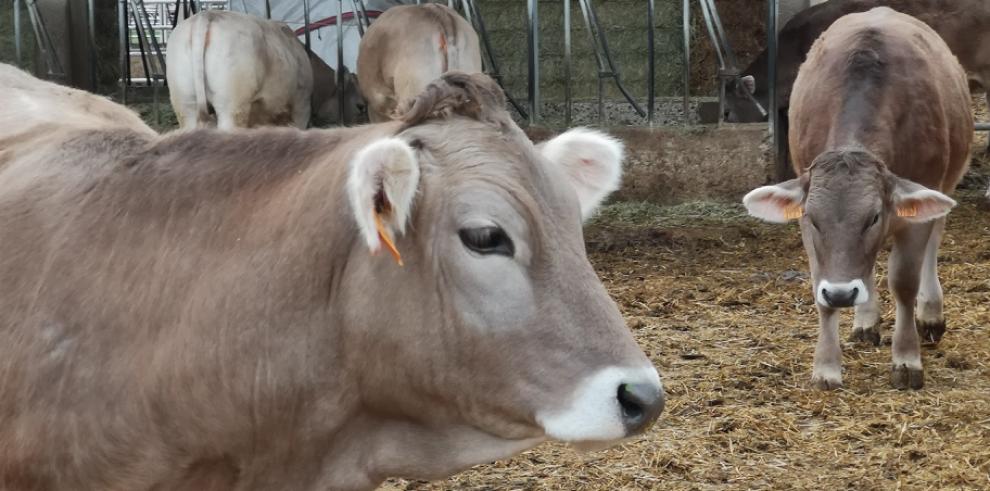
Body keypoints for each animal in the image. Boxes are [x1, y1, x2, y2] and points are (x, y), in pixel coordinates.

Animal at [744, 7, 976, 392]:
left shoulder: (914, 210)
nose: (841, 294)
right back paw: (865, 320)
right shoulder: (809, 232)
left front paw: (907, 359)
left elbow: (904, 283)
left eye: (874, 217)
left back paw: (930, 314)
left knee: (933, 245)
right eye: (814, 219)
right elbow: (820, 287)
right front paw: (826, 366)